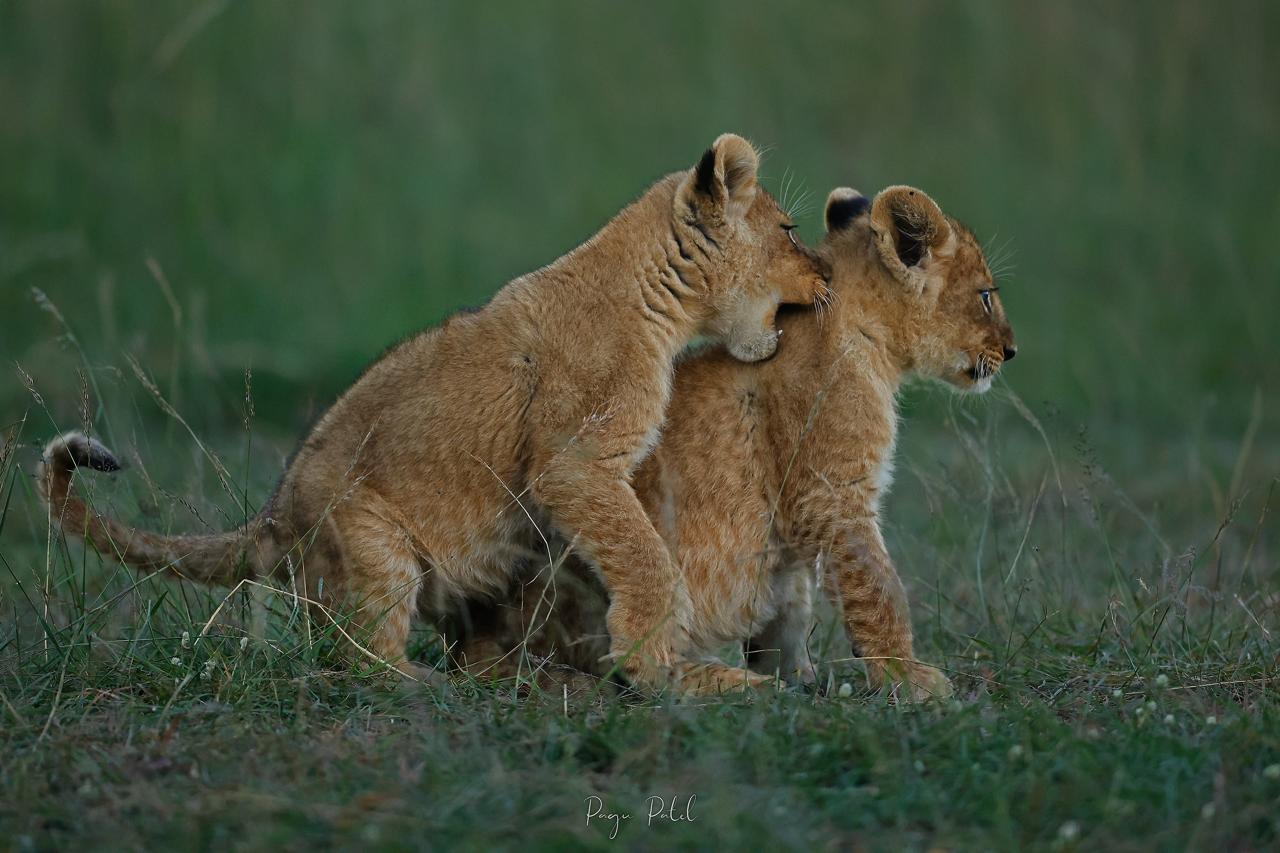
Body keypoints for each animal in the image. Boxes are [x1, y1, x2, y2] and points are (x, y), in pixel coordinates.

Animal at [40, 133, 831, 690]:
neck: (652, 299)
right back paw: (426, 683)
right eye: (790, 229)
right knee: (357, 657)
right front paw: (654, 650)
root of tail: (274, 513)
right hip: (374, 543)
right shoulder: (573, 461)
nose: (826, 272)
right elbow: (643, 552)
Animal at [455, 184, 1017, 699]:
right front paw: (907, 678)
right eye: (986, 295)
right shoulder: (832, 497)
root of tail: (471, 638)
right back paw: (729, 682)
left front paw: (804, 677)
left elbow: (791, 606)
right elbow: (879, 589)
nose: (1011, 351)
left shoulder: (792, 528)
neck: (869, 339)